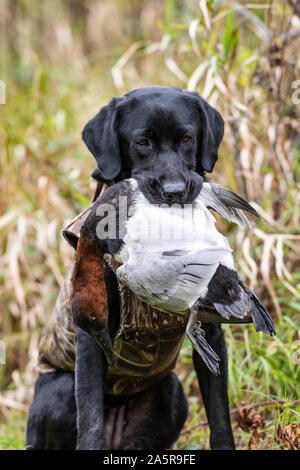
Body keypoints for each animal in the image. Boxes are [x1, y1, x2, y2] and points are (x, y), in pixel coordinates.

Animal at [27, 86, 234, 450]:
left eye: (187, 138)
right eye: (142, 142)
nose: (175, 192)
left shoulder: (211, 329)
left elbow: (220, 415)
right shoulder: (90, 332)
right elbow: (91, 420)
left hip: (171, 392)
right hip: (60, 389)